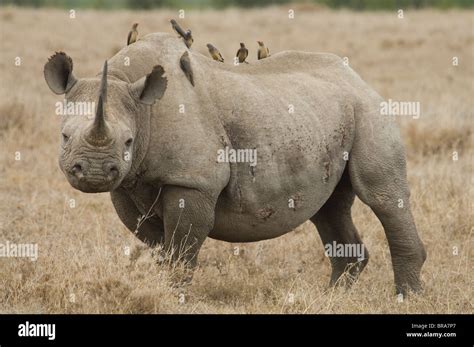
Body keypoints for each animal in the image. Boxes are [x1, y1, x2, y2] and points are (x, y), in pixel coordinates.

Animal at [45, 32, 426, 294]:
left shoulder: (193, 180)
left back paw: (406, 297)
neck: (135, 97)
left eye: (127, 141)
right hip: (325, 115)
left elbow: (181, 250)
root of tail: (357, 77)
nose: (94, 173)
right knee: (328, 208)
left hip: (368, 110)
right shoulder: (128, 184)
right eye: (64, 137)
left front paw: (174, 295)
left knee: (382, 197)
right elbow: (161, 246)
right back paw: (334, 297)